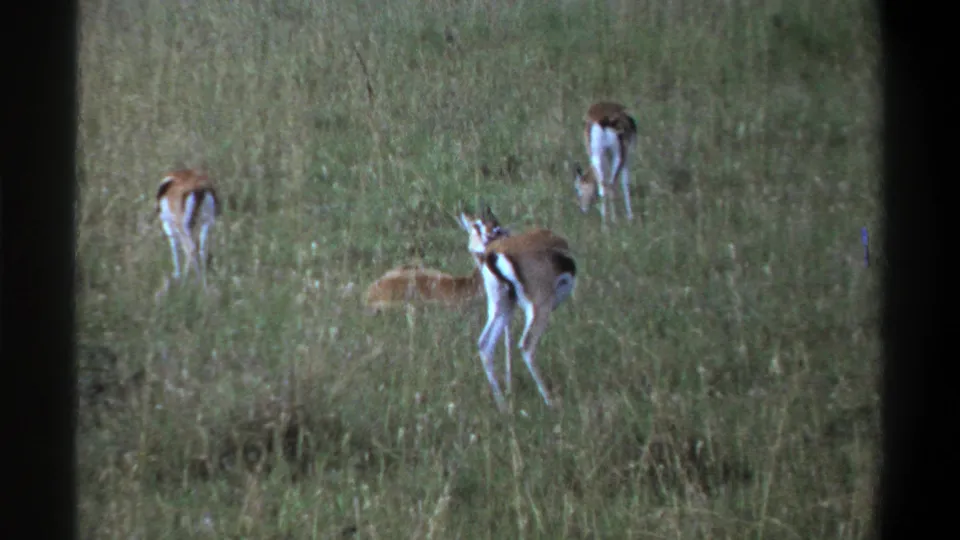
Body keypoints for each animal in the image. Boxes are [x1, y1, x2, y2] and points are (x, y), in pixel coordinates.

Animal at [459, 207, 577, 411]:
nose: (477, 249)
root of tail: (494, 254)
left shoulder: (510, 309)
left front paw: (509, 388)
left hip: (499, 308)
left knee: (484, 344)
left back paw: (503, 405)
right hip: (539, 307)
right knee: (526, 345)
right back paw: (551, 401)